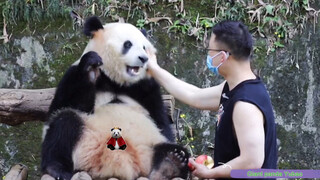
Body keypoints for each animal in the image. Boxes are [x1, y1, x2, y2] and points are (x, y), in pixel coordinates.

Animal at [40, 16, 190, 180]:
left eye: (144, 47)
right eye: (128, 44)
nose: (143, 58)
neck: (117, 80)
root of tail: (117, 165)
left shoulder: (147, 87)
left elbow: (160, 121)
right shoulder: (73, 74)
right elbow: (64, 105)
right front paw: (91, 68)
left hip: (148, 149)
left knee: (176, 150)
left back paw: (170, 164)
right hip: (85, 144)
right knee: (65, 122)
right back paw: (57, 169)